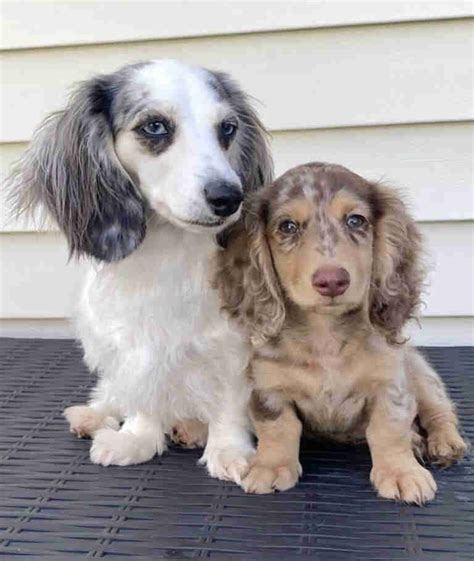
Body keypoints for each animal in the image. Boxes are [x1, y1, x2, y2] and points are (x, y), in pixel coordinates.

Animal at [8, 60, 274, 482]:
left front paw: (231, 451)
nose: (229, 198)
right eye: (155, 126)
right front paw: (136, 439)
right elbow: (143, 394)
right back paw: (92, 416)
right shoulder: (136, 343)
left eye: (228, 128)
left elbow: (230, 403)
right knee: (112, 395)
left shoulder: (235, 344)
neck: (170, 251)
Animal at [215, 162, 466, 504]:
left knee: (439, 411)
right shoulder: (269, 388)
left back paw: (444, 442)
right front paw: (270, 466)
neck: (326, 337)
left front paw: (401, 472)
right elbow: (279, 428)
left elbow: (389, 428)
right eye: (287, 226)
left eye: (356, 220)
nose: (332, 280)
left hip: (420, 374)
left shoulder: (391, 383)